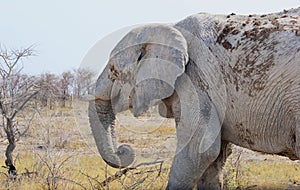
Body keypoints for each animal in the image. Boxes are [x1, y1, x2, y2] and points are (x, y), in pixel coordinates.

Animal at [88, 7, 298, 189]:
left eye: (114, 71)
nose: (124, 150)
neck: (170, 26)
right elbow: (215, 156)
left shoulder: (195, 78)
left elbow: (199, 148)